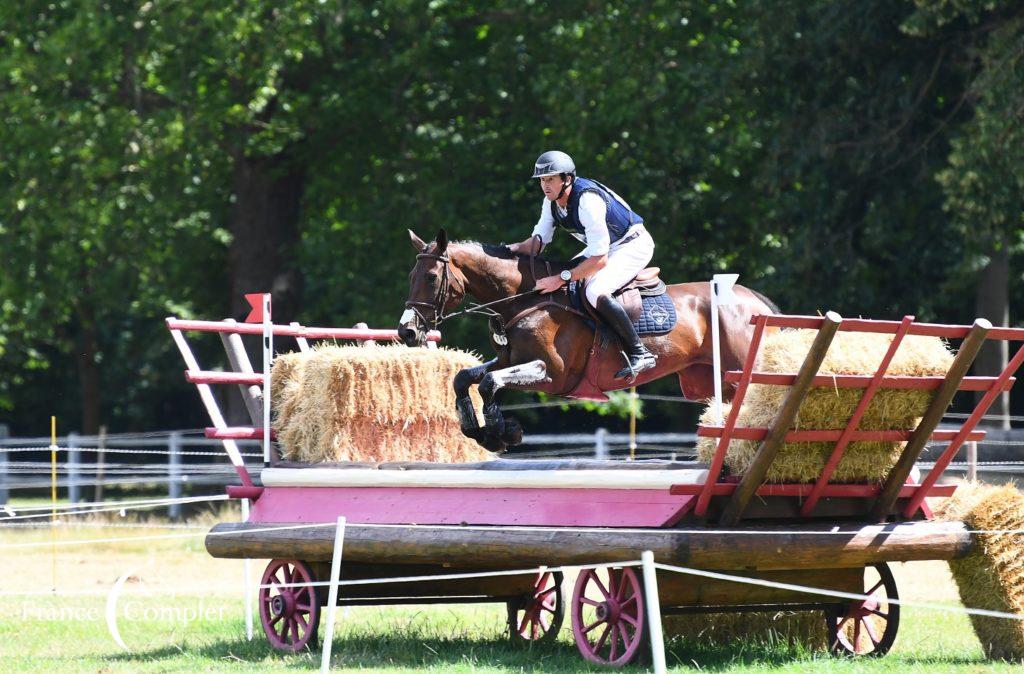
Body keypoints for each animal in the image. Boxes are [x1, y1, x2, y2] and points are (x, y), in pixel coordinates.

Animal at [397, 225, 774, 450]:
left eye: (431, 277)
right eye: (411, 274)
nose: (407, 331)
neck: (524, 299)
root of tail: (755, 301)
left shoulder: (553, 374)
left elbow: (490, 383)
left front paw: (499, 433)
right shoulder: (508, 360)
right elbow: (464, 379)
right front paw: (481, 431)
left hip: (738, 373)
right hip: (710, 381)